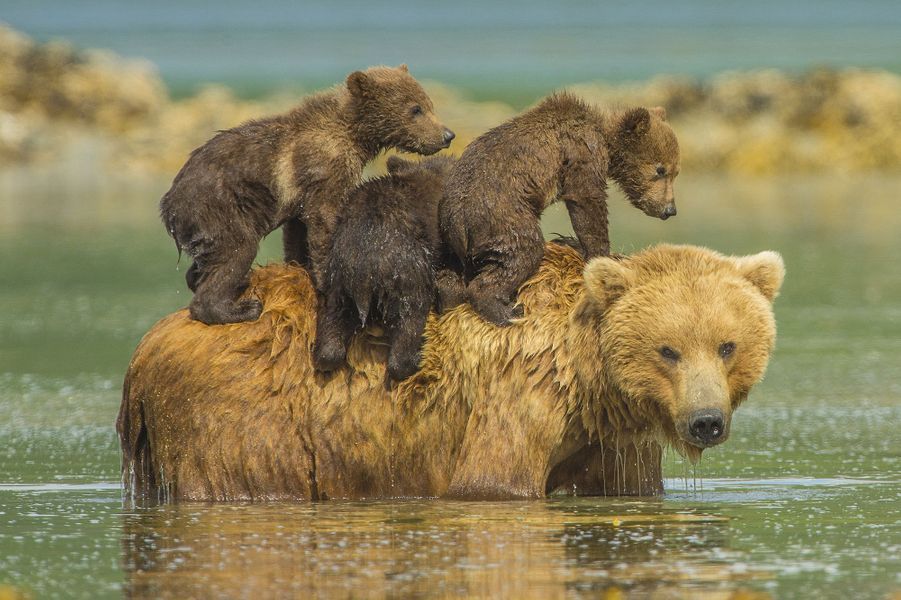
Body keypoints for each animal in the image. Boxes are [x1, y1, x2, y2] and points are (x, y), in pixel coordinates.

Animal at [118, 244, 780, 502]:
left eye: (727, 345)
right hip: (242, 412)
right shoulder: (518, 397)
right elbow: (492, 482)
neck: (587, 378)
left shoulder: (612, 441)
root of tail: (146, 346)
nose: (705, 421)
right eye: (667, 350)